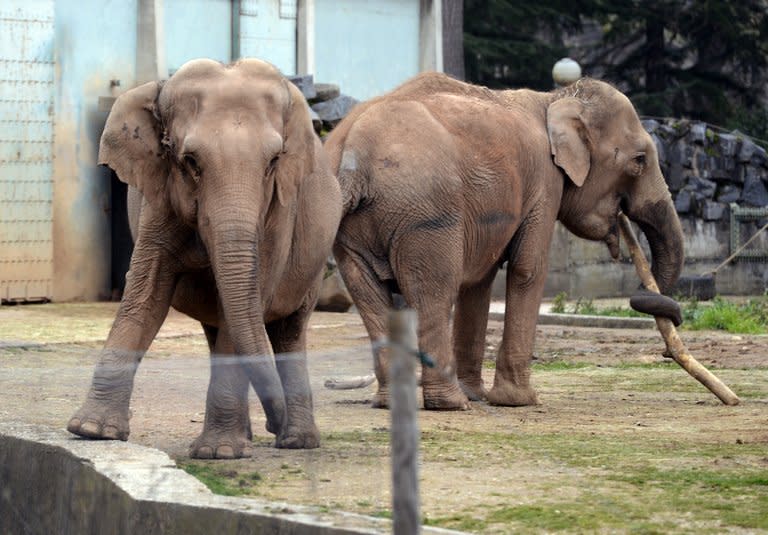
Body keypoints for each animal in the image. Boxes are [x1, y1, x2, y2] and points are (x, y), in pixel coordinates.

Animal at [67, 59, 340, 460]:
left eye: (273, 162)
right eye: (190, 162)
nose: (273, 423)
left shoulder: (278, 212)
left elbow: (245, 303)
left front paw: (219, 453)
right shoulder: (159, 193)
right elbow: (145, 295)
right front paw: (91, 431)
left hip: (315, 264)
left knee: (289, 330)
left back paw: (296, 442)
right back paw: (255, 437)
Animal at [324, 72, 684, 410]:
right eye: (639, 160)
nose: (669, 350)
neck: (554, 100)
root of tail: (354, 153)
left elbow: (479, 283)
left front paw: (480, 394)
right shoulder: (544, 182)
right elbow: (528, 268)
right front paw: (519, 400)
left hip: (351, 227)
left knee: (369, 295)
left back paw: (397, 401)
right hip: (424, 212)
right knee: (434, 291)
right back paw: (452, 404)